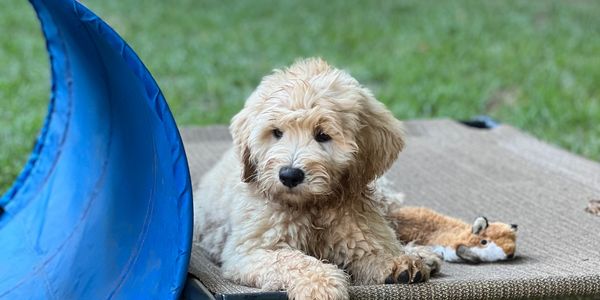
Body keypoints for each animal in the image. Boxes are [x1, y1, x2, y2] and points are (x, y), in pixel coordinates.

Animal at [193, 57, 440, 298]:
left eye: (322, 135)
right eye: (277, 132)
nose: (289, 175)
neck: (313, 207)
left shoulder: (360, 229)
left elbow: (378, 248)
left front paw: (398, 261)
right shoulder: (251, 250)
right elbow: (292, 260)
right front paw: (321, 286)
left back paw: (419, 254)